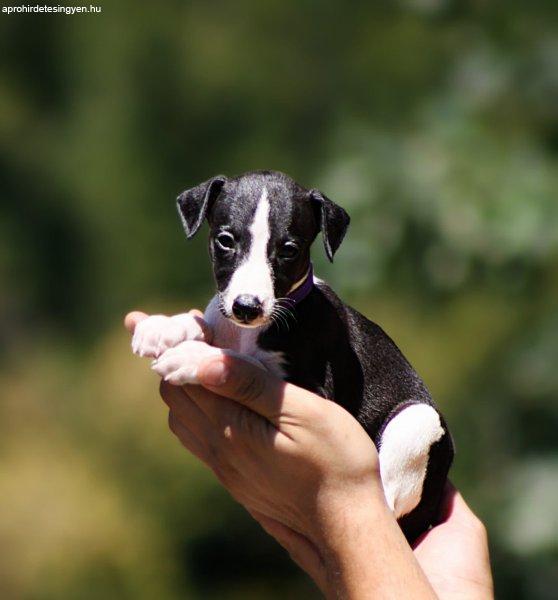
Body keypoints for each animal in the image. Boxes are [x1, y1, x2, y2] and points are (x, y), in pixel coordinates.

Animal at [133, 170, 458, 544]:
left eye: (289, 250)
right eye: (225, 240)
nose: (247, 307)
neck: (253, 330)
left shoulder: (315, 391)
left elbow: (248, 361)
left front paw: (191, 356)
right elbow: (208, 323)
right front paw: (165, 326)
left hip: (417, 422)